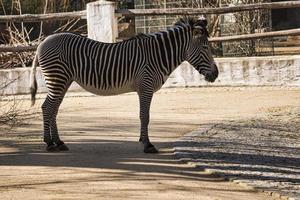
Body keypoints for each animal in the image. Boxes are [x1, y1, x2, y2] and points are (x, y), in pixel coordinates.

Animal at [29, 16, 218, 153]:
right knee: (47, 107)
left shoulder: (144, 88)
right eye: (205, 47)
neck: (157, 55)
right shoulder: (145, 87)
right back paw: (49, 143)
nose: (216, 74)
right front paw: (147, 144)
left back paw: (59, 142)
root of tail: (42, 42)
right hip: (57, 77)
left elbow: (144, 116)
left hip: (63, 80)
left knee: (53, 108)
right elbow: (145, 116)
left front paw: (143, 141)